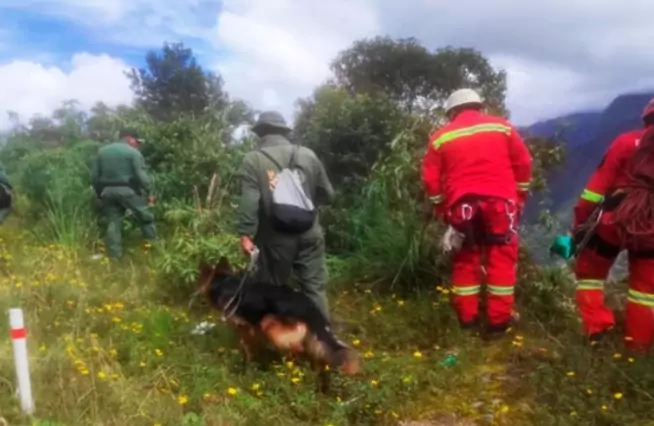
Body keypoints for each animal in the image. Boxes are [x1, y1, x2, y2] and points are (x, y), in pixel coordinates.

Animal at [200, 256, 364, 390]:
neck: (224, 283)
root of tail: (309, 307)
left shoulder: (244, 328)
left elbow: (247, 349)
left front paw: (247, 366)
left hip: (270, 326)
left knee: (298, 348)